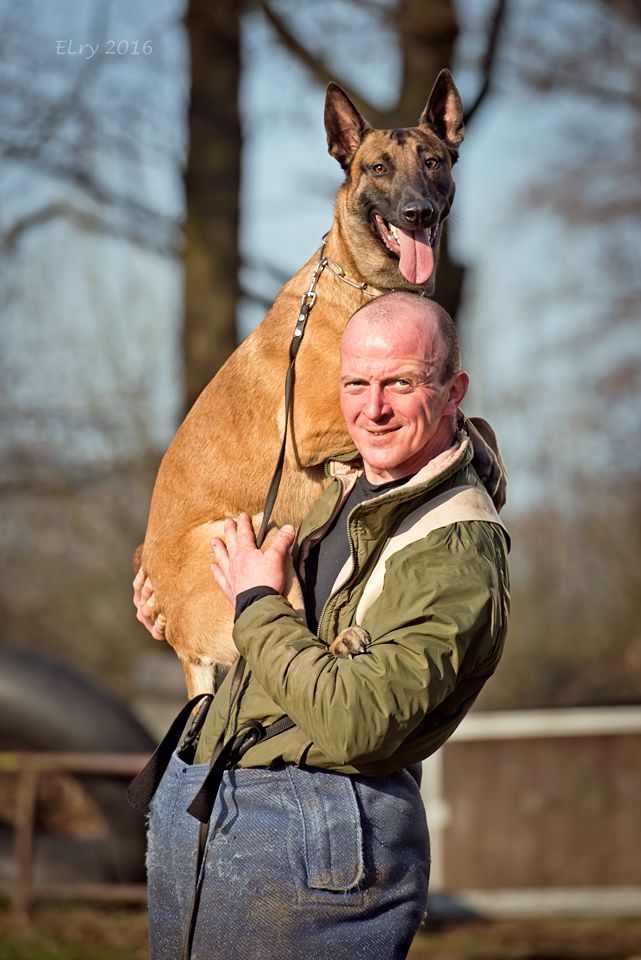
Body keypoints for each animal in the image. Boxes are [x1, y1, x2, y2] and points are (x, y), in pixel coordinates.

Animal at [135, 69, 468, 696]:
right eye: (378, 167)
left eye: (434, 162)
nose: (416, 212)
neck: (365, 284)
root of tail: (182, 645)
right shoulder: (314, 428)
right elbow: (465, 411)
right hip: (252, 541)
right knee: (290, 628)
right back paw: (340, 639)